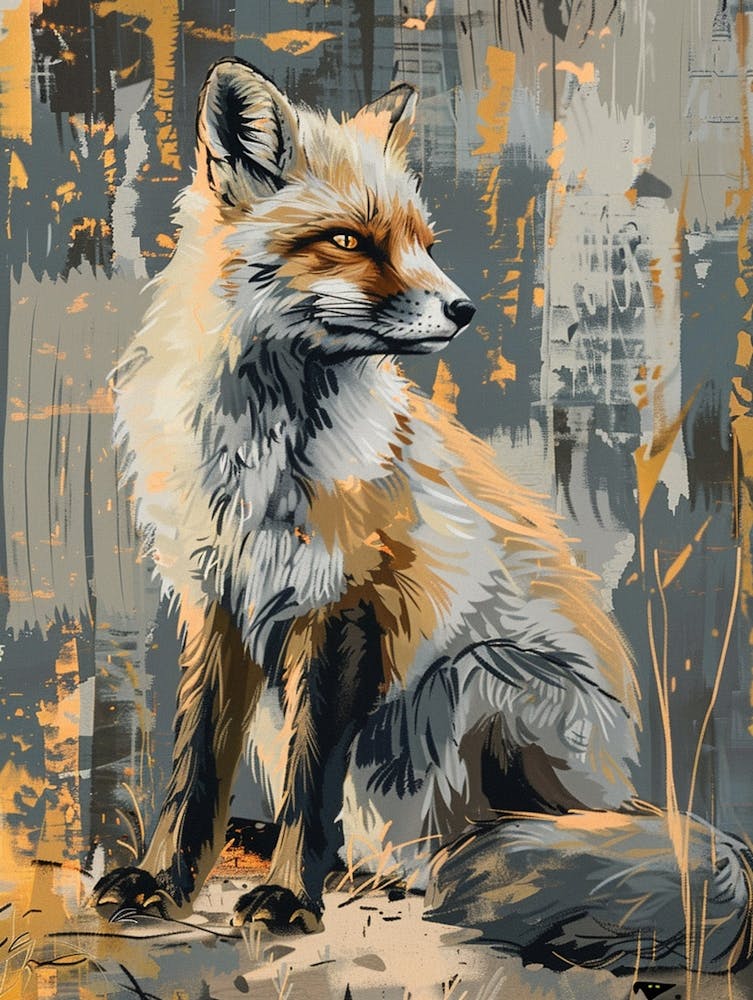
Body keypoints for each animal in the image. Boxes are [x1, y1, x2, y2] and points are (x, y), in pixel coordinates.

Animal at [94, 58, 753, 974]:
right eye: (348, 240)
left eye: (423, 244)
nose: (464, 309)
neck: (261, 450)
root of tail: (628, 797)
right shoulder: (215, 599)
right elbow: (192, 771)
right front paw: (161, 882)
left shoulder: (343, 605)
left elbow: (309, 784)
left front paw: (290, 898)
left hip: (469, 679)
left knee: (432, 854)